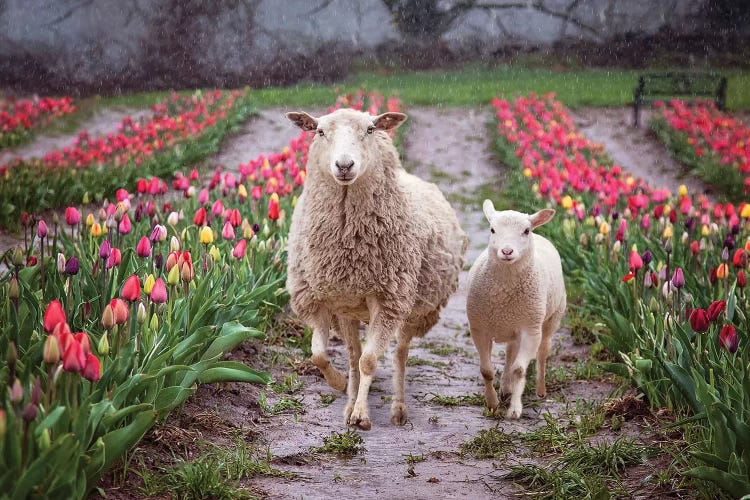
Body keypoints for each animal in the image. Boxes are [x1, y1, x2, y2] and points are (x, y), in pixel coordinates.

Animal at [284, 108, 468, 430]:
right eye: (319, 131)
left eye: (370, 129)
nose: (344, 165)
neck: (347, 240)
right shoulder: (322, 299)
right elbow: (321, 355)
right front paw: (339, 385)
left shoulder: (387, 301)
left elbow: (369, 361)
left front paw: (361, 415)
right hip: (350, 309)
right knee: (353, 353)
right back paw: (350, 395)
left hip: (412, 308)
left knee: (400, 353)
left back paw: (398, 408)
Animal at [468, 201, 568, 420]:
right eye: (492, 229)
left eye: (526, 231)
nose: (506, 251)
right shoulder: (479, 328)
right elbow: (487, 371)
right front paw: (492, 403)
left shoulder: (531, 329)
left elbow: (520, 370)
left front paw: (515, 409)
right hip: (512, 326)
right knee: (510, 353)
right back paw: (505, 388)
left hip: (550, 320)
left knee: (542, 353)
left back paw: (540, 390)